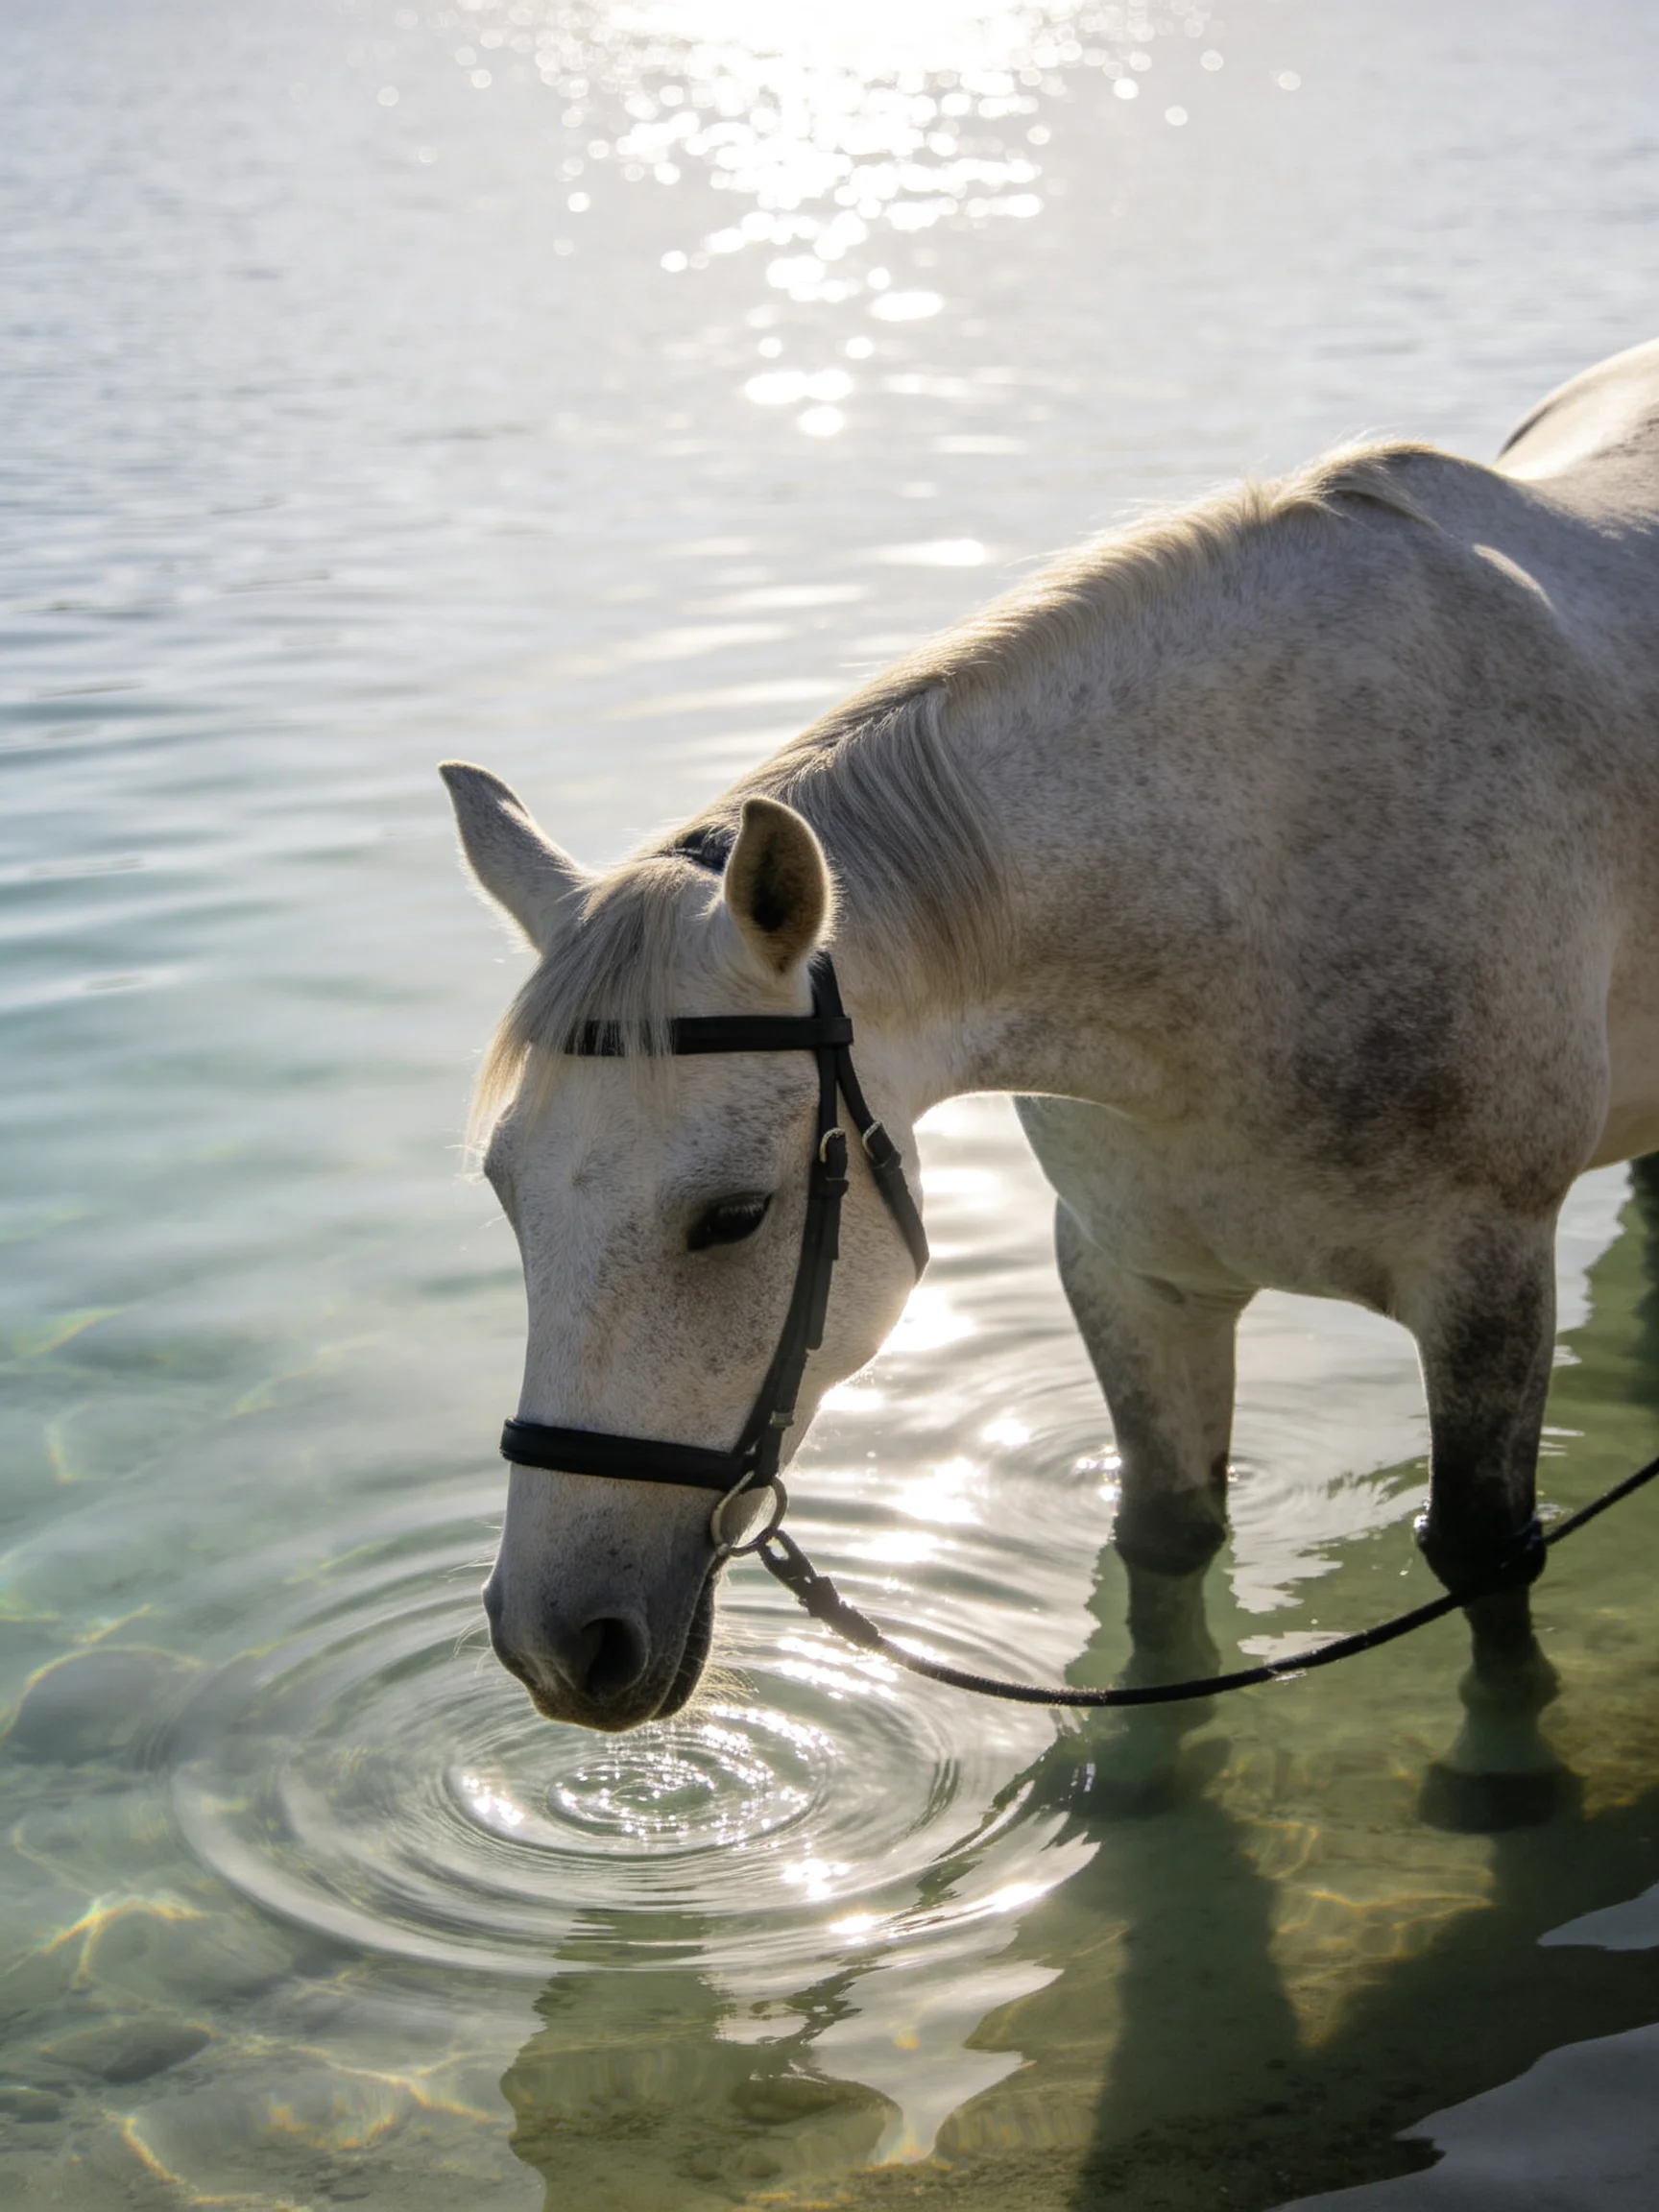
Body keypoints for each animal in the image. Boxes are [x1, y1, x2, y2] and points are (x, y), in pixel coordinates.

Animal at [442, 336, 1659, 1788]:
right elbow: (1166, 1534)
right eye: (505, 1196)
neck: (1255, 899)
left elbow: (1482, 1557)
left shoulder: (1488, 1280)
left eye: (731, 1217)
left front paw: (1504, 1776)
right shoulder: (1132, 1275)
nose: (554, 1643)